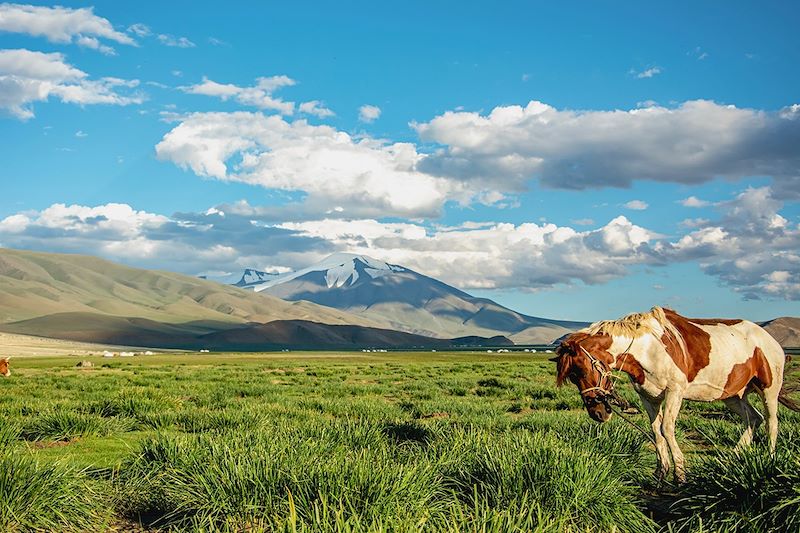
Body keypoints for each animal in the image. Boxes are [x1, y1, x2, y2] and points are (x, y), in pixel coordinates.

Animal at [552, 304, 800, 482]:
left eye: (583, 370)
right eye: (572, 377)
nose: (598, 413)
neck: (647, 349)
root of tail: (771, 341)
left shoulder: (675, 392)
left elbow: (667, 428)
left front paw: (680, 473)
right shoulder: (648, 397)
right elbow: (655, 430)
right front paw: (661, 471)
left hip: (769, 389)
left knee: (771, 422)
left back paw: (769, 459)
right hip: (732, 395)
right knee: (753, 419)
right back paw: (731, 459)